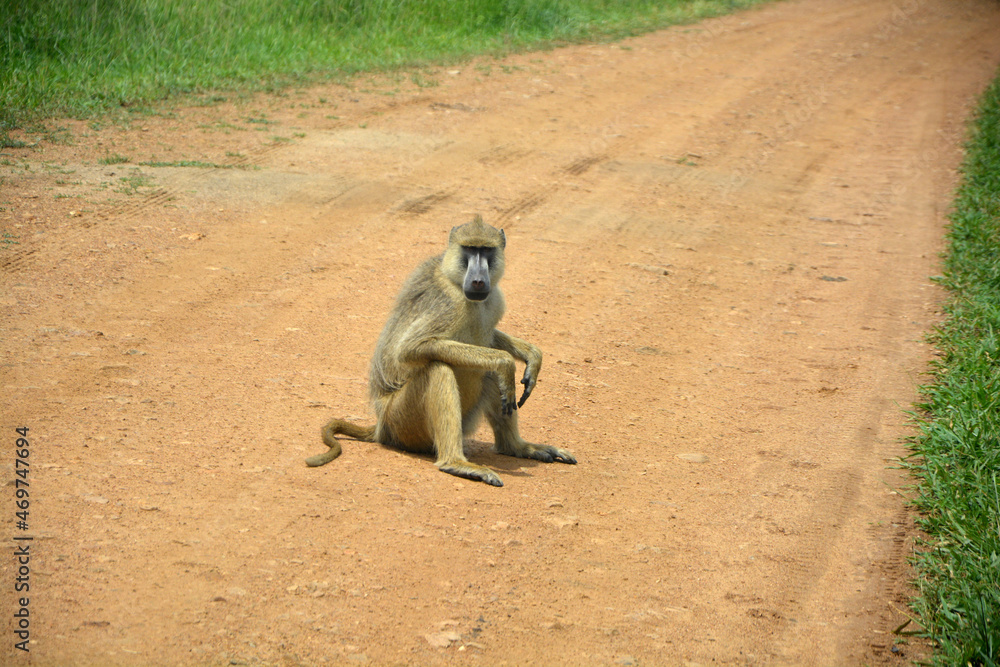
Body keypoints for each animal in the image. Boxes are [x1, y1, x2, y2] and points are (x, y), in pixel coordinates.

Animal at [306, 214, 576, 486]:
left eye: (486, 250)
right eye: (469, 249)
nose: (478, 280)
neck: (456, 281)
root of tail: (380, 426)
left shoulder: (493, 299)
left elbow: (489, 342)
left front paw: (532, 355)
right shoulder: (448, 305)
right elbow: (409, 349)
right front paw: (506, 361)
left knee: (488, 374)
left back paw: (517, 447)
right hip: (401, 422)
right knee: (439, 368)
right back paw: (455, 462)